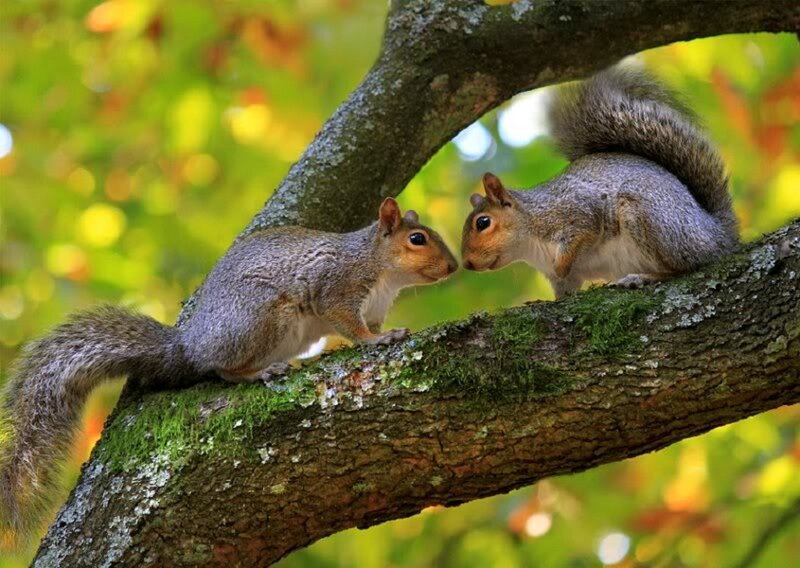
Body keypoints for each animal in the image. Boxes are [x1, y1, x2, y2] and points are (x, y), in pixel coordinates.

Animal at [0, 197, 458, 534]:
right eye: (417, 238)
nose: (454, 267)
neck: (382, 271)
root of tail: (190, 347)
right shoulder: (337, 290)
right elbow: (352, 327)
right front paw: (378, 340)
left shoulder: (373, 306)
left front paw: (387, 333)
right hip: (261, 318)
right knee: (222, 369)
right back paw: (259, 372)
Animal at [461, 67, 739, 299]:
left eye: (483, 222)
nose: (467, 264)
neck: (530, 235)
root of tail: (718, 234)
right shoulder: (563, 280)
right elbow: (564, 291)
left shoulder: (576, 212)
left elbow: (584, 231)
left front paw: (561, 264)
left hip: (653, 220)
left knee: (685, 267)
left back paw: (641, 277)